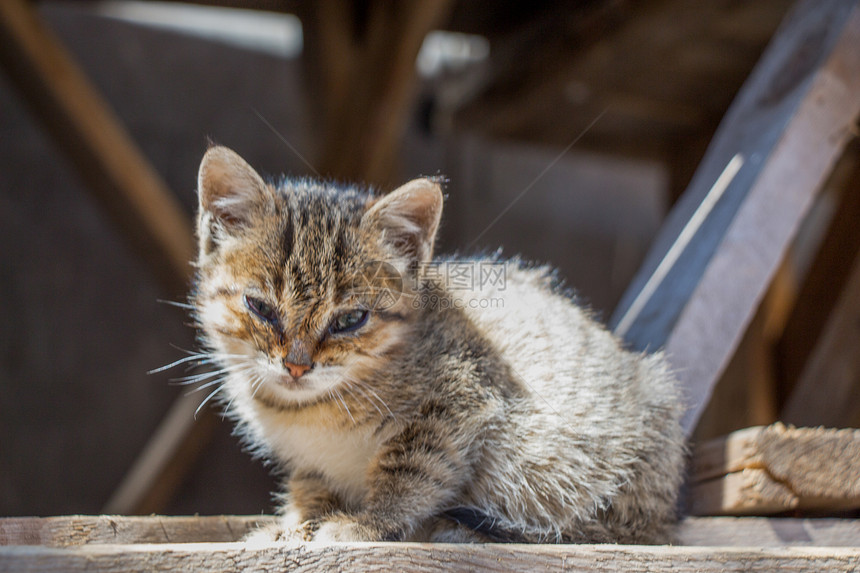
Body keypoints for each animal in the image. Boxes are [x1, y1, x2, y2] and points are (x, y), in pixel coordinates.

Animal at [190, 145, 684, 544]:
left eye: (350, 319)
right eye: (260, 308)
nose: (296, 366)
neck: (308, 410)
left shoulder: (460, 400)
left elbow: (410, 472)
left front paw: (367, 523)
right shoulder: (309, 460)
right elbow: (310, 484)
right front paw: (294, 524)